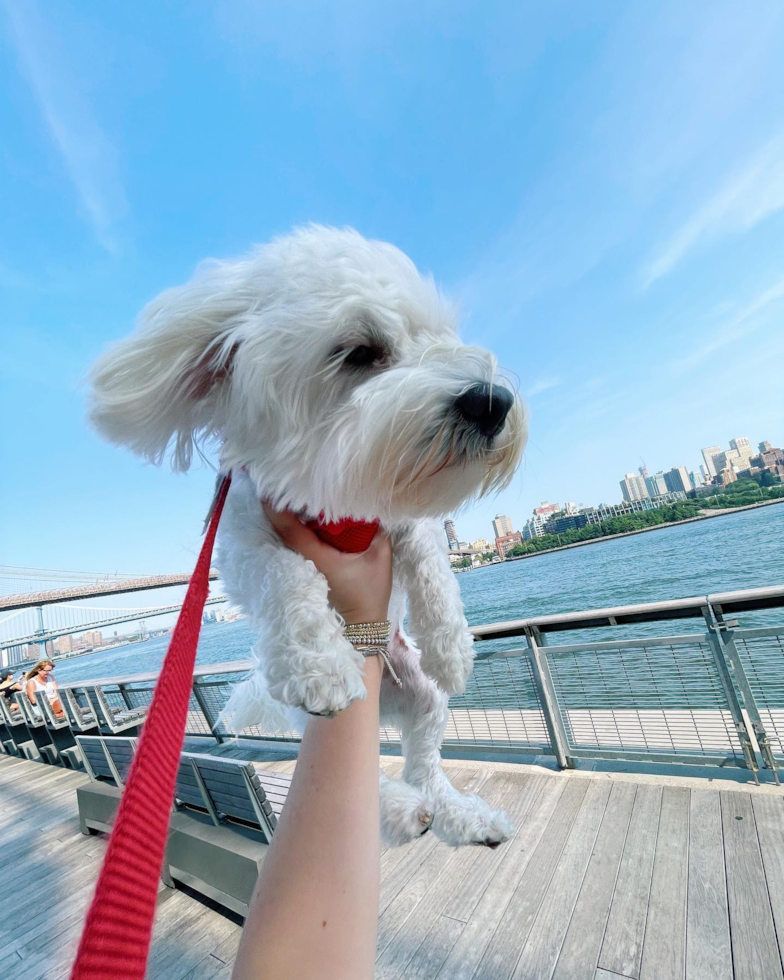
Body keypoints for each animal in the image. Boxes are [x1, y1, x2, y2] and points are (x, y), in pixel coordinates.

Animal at [90, 226, 528, 848]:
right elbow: (288, 575)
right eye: (361, 352)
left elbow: (431, 562)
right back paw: (402, 810)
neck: (335, 500)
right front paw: (319, 665)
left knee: (426, 765)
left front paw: (452, 649)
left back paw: (460, 815)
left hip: (424, 700)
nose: (492, 401)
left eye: (439, 337)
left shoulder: (398, 518)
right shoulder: (241, 541)